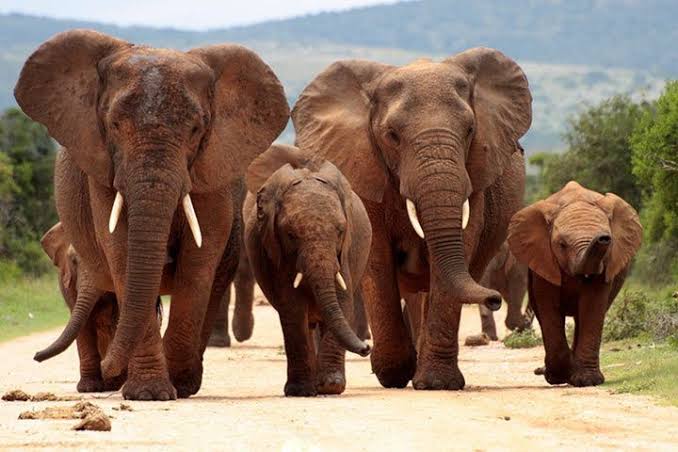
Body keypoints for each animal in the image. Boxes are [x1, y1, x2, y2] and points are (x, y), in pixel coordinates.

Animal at [15, 29, 289, 400]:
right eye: (114, 124)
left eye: (196, 129)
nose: (109, 368)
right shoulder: (102, 168)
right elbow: (120, 250)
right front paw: (148, 393)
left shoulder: (212, 168)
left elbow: (199, 259)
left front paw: (176, 385)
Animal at [244, 144, 372, 396]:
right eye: (291, 235)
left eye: (341, 231)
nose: (367, 348)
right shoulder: (275, 252)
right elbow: (292, 307)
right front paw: (301, 391)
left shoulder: (346, 253)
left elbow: (343, 299)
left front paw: (331, 387)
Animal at [291, 47, 532, 390]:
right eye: (392, 135)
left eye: (470, 130)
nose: (494, 299)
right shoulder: (364, 166)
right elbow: (377, 256)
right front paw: (393, 373)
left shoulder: (475, 177)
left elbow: (459, 247)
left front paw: (436, 384)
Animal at [507, 181, 642, 387]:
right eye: (562, 245)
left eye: (609, 241)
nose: (603, 238)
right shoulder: (544, 259)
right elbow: (549, 308)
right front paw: (558, 377)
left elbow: (592, 306)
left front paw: (587, 381)